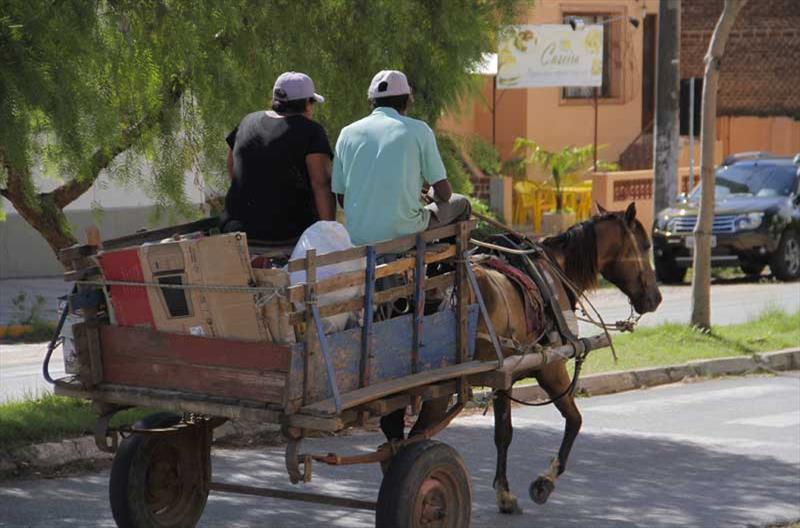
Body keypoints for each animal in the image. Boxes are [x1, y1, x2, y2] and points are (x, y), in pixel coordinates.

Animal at [380, 200, 664, 512]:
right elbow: (575, 420)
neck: (553, 271)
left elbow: (503, 433)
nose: (656, 298)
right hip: (438, 390)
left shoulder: (504, 379)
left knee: (392, 433)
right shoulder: (551, 370)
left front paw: (504, 494)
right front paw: (544, 482)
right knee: (414, 439)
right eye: (645, 245)